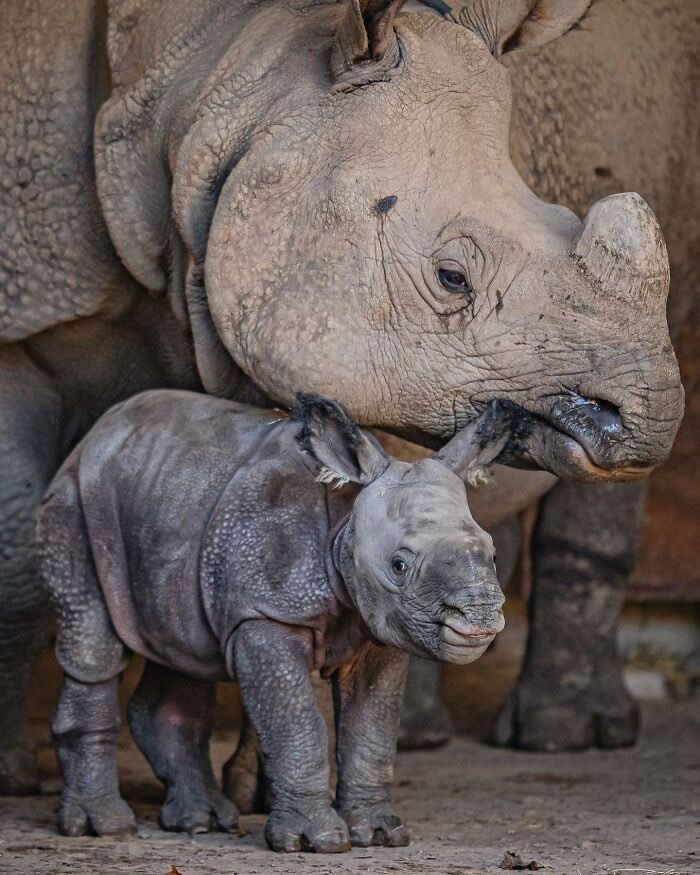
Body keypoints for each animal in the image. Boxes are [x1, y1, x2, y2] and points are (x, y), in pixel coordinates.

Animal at [0, 0, 695, 795]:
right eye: (452, 277)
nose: (649, 416)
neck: (217, 94)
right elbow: (20, 540)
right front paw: (15, 775)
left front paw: (262, 788)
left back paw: (558, 736)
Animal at [39, 391, 509, 848]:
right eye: (399, 565)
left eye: (491, 551)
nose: (479, 618)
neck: (345, 523)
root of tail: (100, 431)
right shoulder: (264, 613)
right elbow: (297, 724)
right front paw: (315, 840)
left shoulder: (383, 626)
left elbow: (371, 730)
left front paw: (379, 834)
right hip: (77, 500)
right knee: (94, 648)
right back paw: (104, 828)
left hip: (171, 493)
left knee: (182, 651)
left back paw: (200, 822)